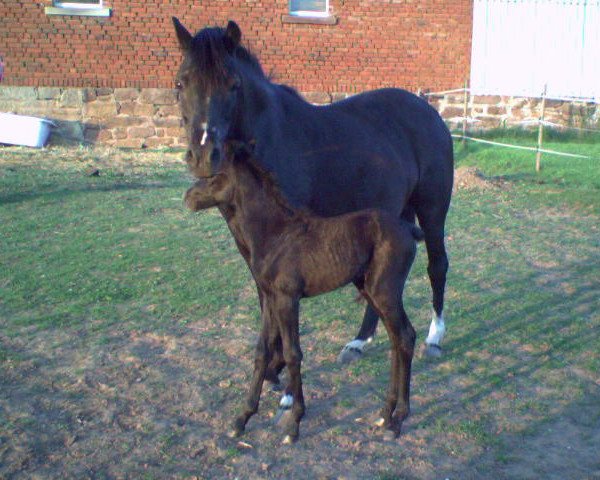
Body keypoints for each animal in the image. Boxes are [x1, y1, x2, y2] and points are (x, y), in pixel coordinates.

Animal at [185, 154, 424, 442]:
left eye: (215, 176)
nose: (188, 197)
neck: (276, 234)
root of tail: (408, 228)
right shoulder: (270, 299)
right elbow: (262, 351)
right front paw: (242, 418)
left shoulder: (288, 299)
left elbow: (292, 353)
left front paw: (294, 423)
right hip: (371, 291)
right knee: (396, 340)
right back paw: (385, 414)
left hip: (385, 291)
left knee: (406, 336)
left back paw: (398, 419)